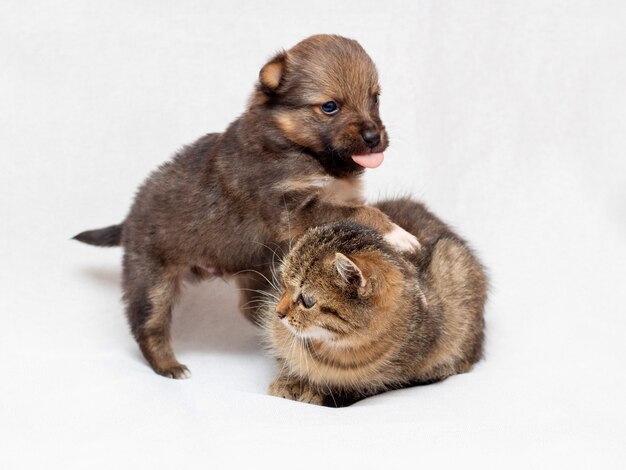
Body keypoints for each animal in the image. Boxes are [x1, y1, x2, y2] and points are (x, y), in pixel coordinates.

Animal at [74, 34, 420, 378]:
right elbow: (365, 212)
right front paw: (398, 234)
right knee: (148, 326)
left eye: (375, 98)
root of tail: (129, 216)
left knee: (250, 308)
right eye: (330, 107)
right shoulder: (292, 211)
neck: (303, 149)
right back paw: (169, 366)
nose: (373, 137)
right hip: (151, 282)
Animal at [260, 197, 486, 404]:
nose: (278, 313)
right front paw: (289, 381)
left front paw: (314, 390)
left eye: (307, 300)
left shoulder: (388, 378)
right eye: (283, 283)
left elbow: (353, 387)